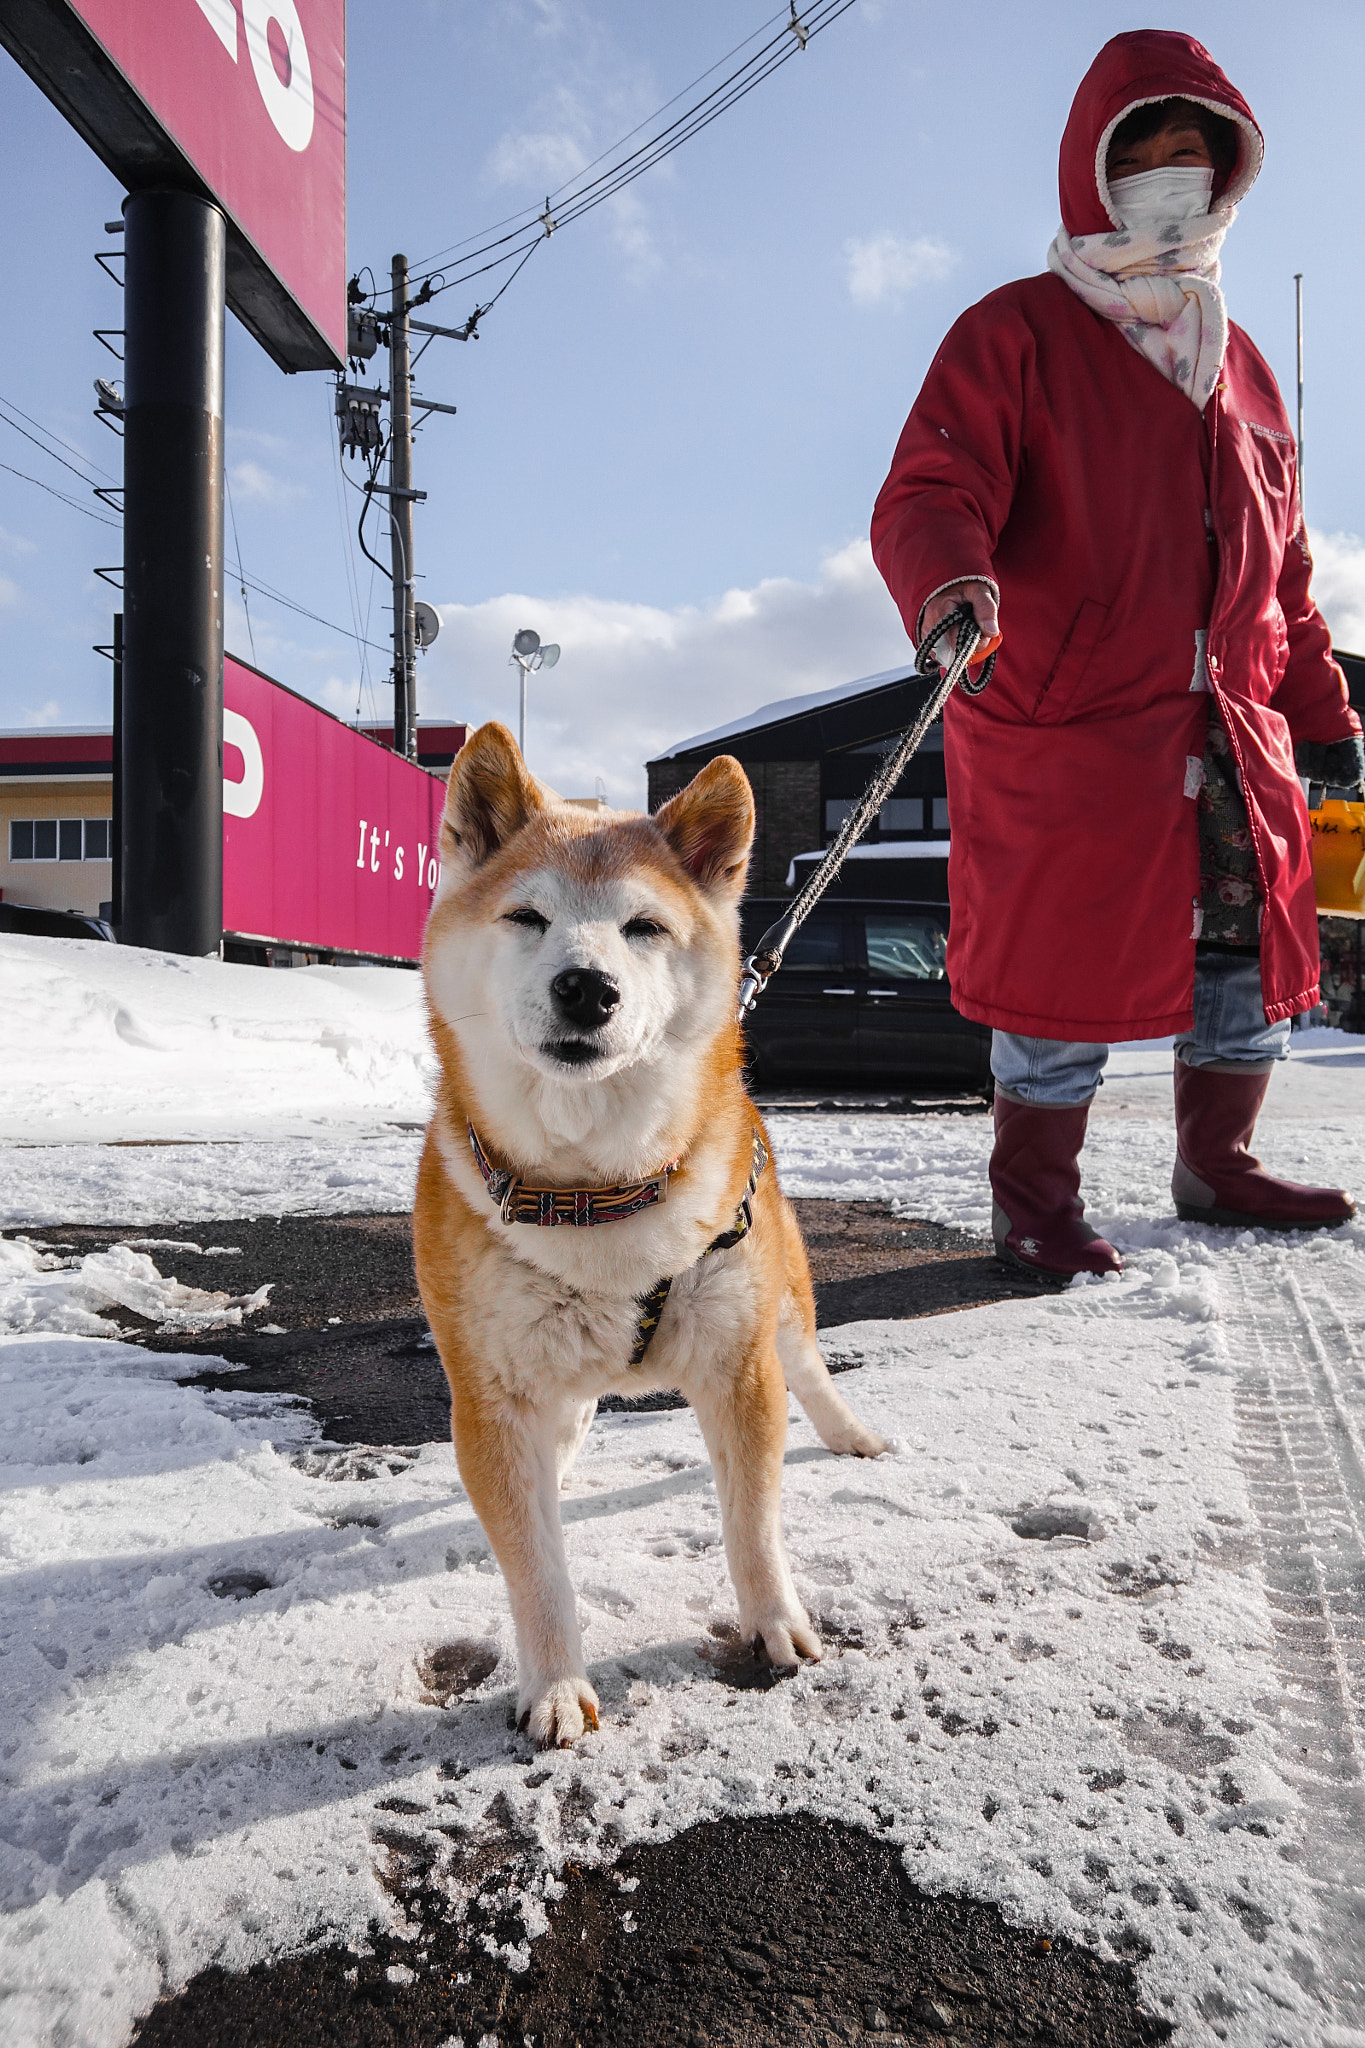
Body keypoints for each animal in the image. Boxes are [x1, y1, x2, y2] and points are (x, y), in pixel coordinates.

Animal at [413, 720, 888, 1744]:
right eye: (526, 917)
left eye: (644, 927)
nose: (586, 987)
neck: (601, 1195)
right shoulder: (492, 1395)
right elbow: (536, 1566)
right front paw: (554, 1684)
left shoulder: (739, 1367)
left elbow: (752, 1524)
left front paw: (775, 1624)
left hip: (782, 1298)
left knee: (812, 1368)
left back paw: (851, 1434)